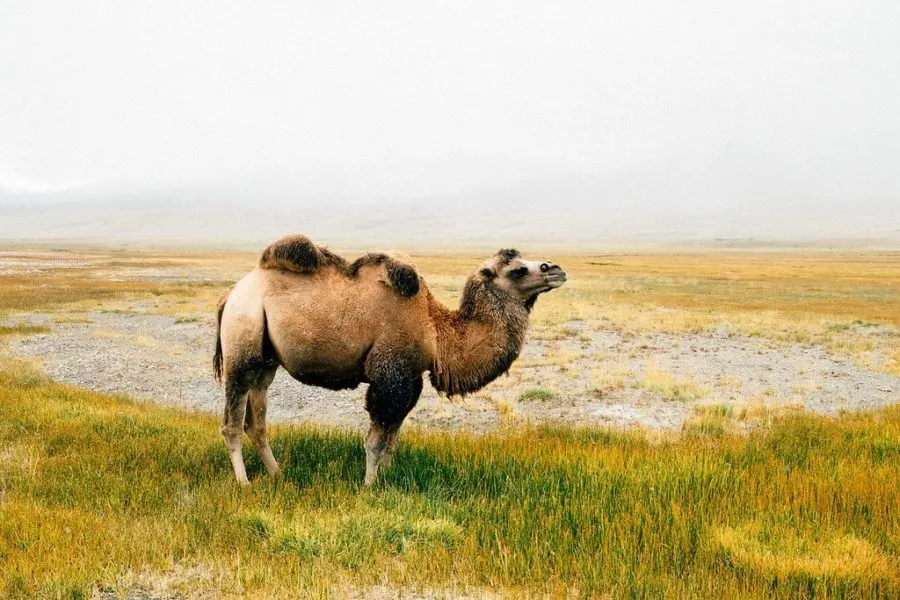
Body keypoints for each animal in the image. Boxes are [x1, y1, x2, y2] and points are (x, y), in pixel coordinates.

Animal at [212, 232, 568, 486]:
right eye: (519, 270)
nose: (557, 269)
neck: (433, 328)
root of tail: (231, 293)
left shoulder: (410, 379)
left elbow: (392, 439)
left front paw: (386, 478)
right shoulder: (389, 375)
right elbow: (375, 440)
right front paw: (370, 485)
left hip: (265, 362)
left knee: (256, 421)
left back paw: (277, 473)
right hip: (242, 341)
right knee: (232, 423)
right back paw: (244, 483)